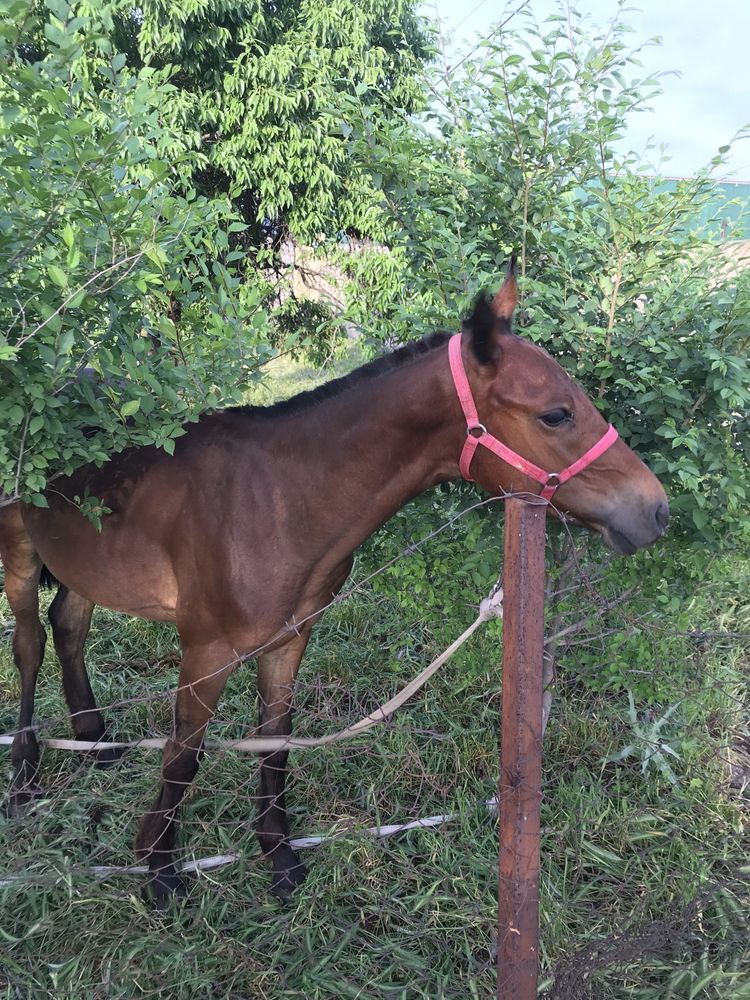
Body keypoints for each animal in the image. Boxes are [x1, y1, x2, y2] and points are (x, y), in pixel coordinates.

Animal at [0, 268, 668, 908]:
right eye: (555, 414)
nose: (655, 510)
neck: (280, 498)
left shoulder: (289, 640)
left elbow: (275, 745)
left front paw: (279, 860)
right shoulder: (206, 651)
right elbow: (183, 755)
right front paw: (159, 869)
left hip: (87, 563)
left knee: (70, 625)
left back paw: (94, 740)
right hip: (19, 548)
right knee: (30, 644)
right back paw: (24, 777)